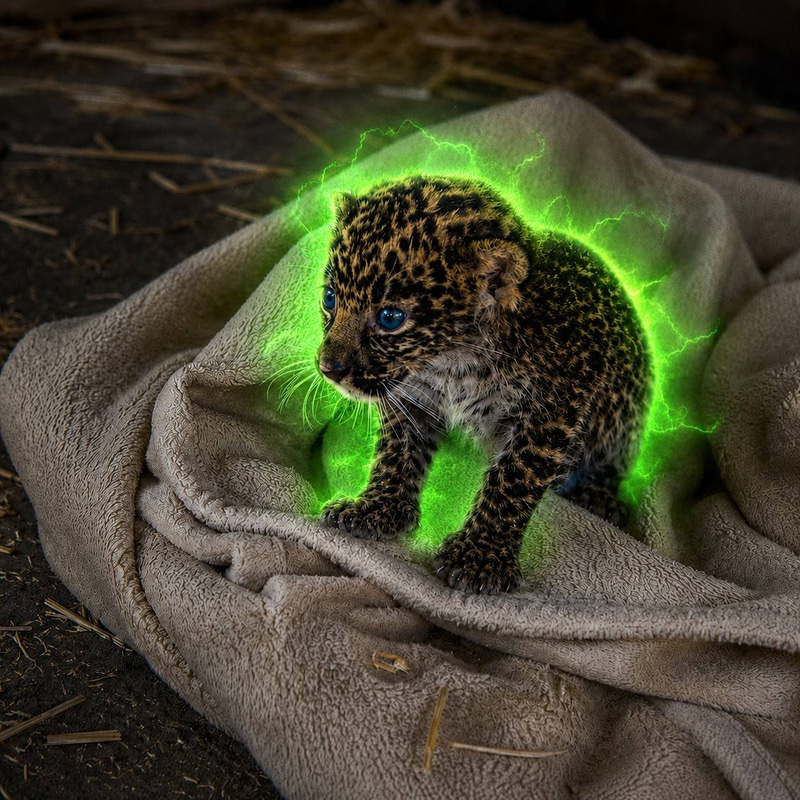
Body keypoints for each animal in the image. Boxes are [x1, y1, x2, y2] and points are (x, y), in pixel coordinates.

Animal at [316, 175, 650, 594]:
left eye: (391, 318)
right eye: (330, 298)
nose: (328, 368)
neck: (454, 363)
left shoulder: (551, 412)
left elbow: (513, 479)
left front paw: (480, 556)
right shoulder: (414, 394)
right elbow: (396, 452)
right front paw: (377, 508)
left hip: (623, 426)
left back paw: (599, 498)